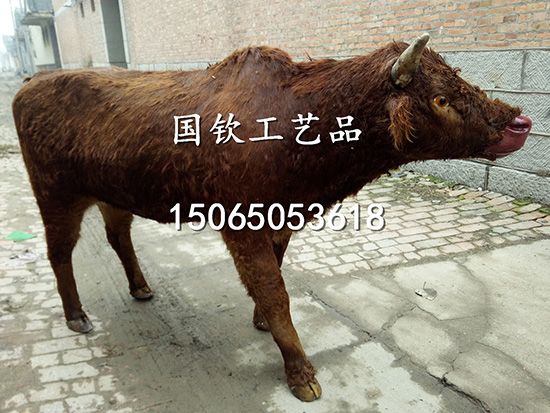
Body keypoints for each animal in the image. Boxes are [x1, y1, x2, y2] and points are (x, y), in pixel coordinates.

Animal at [12, 33, 531, 401]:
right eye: (440, 98)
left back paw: (140, 288)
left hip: (113, 194)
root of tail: (32, 84)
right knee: (59, 252)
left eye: (460, 77)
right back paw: (77, 316)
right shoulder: (242, 225)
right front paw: (300, 371)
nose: (520, 123)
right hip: (55, 194)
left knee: (118, 236)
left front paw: (261, 322)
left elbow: (274, 280)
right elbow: (275, 290)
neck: (296, 115)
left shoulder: (280, 219)